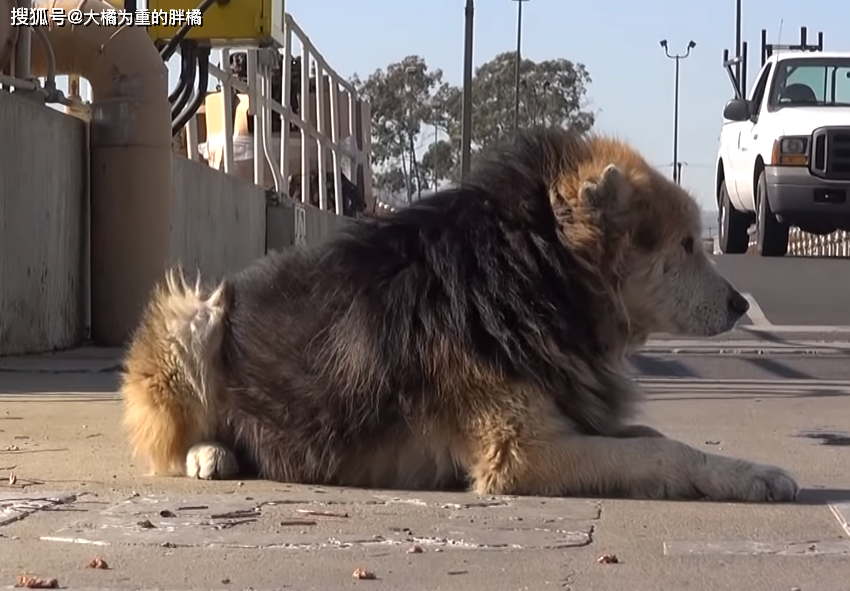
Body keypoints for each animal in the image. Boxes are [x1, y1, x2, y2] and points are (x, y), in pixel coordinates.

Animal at [119, 127, 796, 502]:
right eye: (684, 246)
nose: (740, 304)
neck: (531, 274)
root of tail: (233, 284)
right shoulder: (519, 454)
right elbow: (667, 453)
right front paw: (757, 475)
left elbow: (654, 440)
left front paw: (743, 470)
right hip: (191, 318)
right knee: (169, 441)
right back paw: (208, 454)